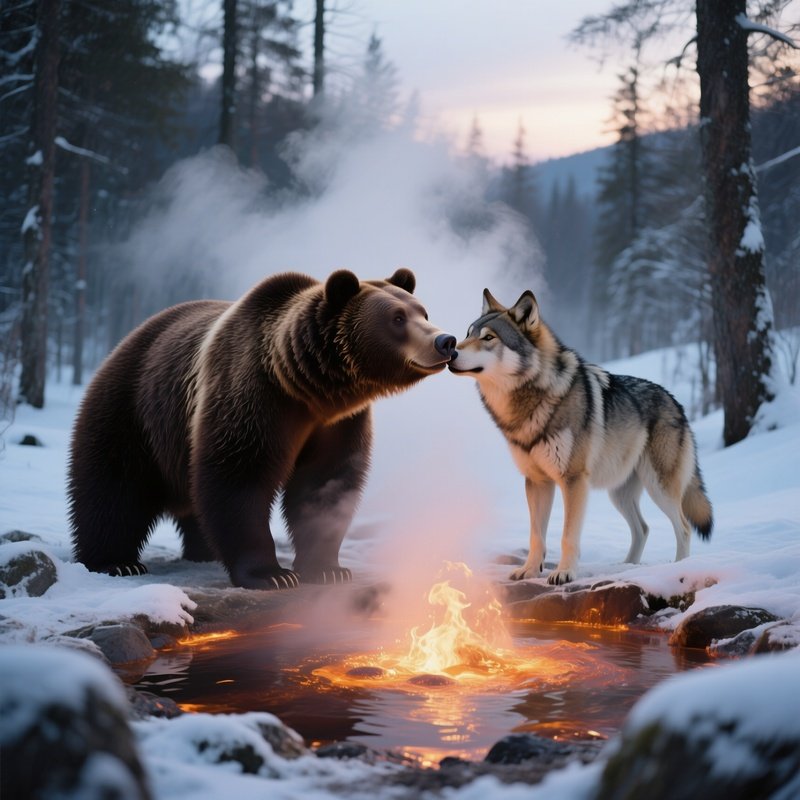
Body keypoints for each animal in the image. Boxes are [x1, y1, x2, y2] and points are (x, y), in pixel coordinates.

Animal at [68, 268, 455, 590]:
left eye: (423, 312)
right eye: (397, 317)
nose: (446, 341)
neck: (310, 388)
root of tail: (127, 339)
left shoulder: (340, 422)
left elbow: (325, 485)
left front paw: (327, 568)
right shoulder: (255, 395)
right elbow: (240, 478)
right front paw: (272, 575)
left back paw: (202, 551)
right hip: (134, 409)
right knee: (112, 486)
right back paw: (117, 562)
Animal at [449, 288, 713, 585]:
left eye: (488, 338)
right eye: (468, 333)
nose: (450, 350)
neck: (533, 399)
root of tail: (676, 402)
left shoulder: (573, 480)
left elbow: (567, 536)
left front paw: (564, 573)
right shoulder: (537, 482)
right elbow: (536, 535)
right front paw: (529, 571)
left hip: (659, 488)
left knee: (684, 527)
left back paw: (679, 567)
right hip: (619, 493)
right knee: (642, 528)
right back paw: (627, 566)